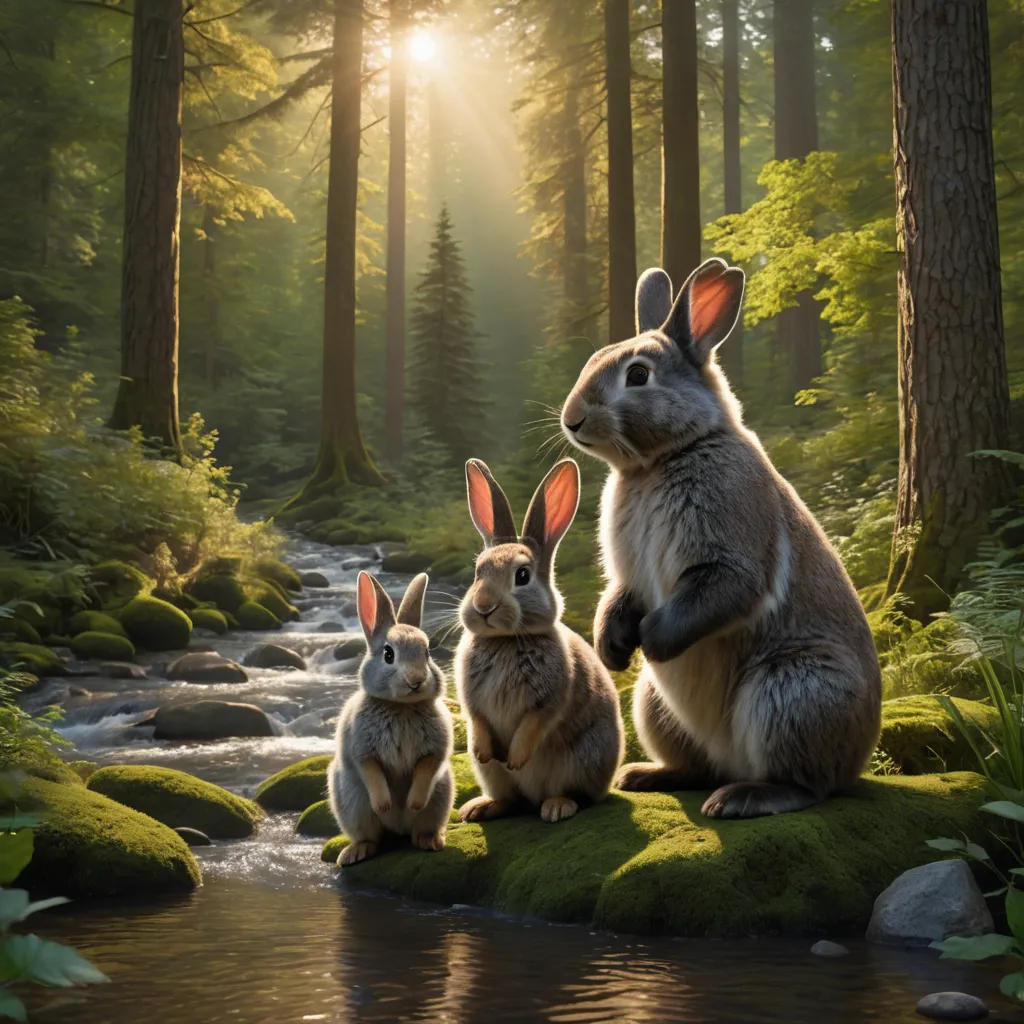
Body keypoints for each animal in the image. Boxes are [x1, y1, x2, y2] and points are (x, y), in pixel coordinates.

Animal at [327, 571, 454, 865]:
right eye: (388, 654)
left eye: (427, 652)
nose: (416, 680)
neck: (401, 707)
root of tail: (399, 829)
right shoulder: (361, 749)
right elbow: (371, 772)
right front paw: (384, 804)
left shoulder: (435, 751)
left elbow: (426, 770)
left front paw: (413, 803)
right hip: (352, 804)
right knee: (371, 836)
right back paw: (355, 852)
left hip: (440, 796)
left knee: (420, 829)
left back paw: (429, 841)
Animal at [455, 457, 624, 824]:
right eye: (478, 572)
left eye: (522, 575)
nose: (483, 607)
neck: (506, 639)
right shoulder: (472, 702)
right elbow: (478, 720)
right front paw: (483, 750)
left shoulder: (549, 698)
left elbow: (533, 725)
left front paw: (516, 758)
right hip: (494, 778)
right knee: (512, 801)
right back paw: (479, 808)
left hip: (584, 759)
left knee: (578, 796)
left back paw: (556, 807)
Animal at [559, 257, 882, 819]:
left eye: (638, 375)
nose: (572, 419)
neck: (664, 458)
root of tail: (859, 757)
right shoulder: (628, 579)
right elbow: (616, 599)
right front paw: (613, 649)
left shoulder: (727, 559)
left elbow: (721, 591)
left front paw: (651, 639)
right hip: (655, 705)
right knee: (697, 766)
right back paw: (646, 775)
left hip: (790, 690)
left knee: (808, 784)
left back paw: (741, 798)